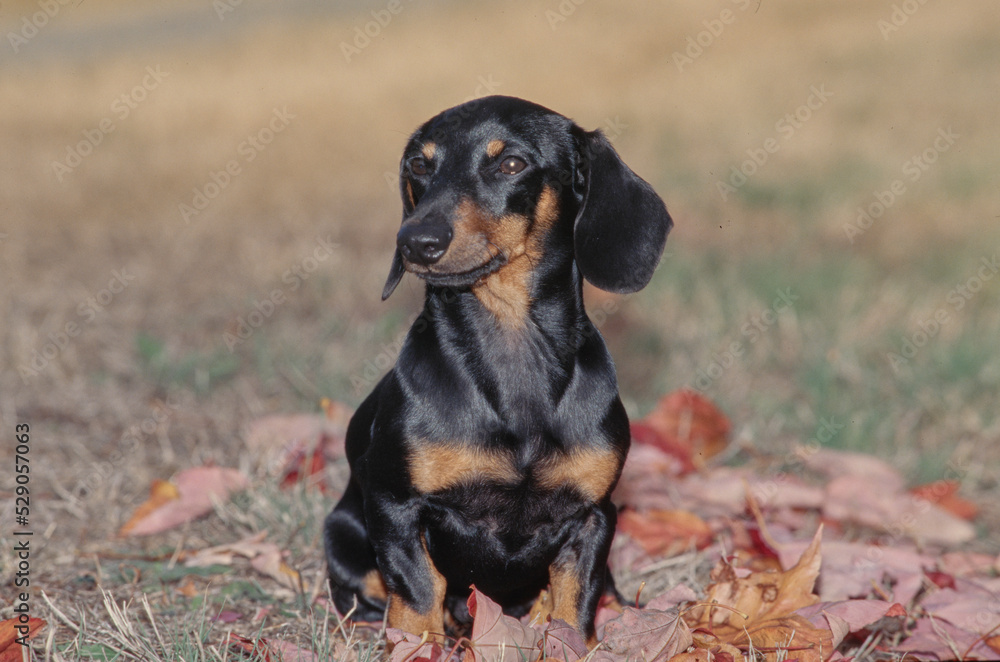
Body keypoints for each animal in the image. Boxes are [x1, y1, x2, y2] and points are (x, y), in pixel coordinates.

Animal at [328, 96, 672, 644]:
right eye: (419, 165)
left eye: (511, 164)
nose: (415, 241)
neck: (511, 349)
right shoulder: (394, 505)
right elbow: (419, 591)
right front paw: (418, 646)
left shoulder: (594, 515)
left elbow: (576, 601)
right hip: (342, 534)